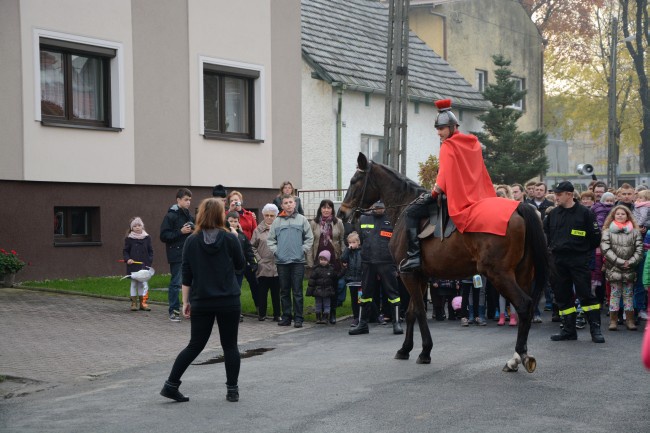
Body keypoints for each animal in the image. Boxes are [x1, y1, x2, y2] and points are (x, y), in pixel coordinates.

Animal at [340, 152, 548, 372]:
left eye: (354, 181)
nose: (341, 212)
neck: (405, 205)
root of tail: (518, 207)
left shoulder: (407, 274)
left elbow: (419, 311)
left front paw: (425, 351)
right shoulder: (419, 276)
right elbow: (412, 312)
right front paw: (405, 349)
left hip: (499, 274)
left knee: (524, 305)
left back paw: (519, 356)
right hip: (522, 273)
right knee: (527, 307)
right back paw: (517, 357)